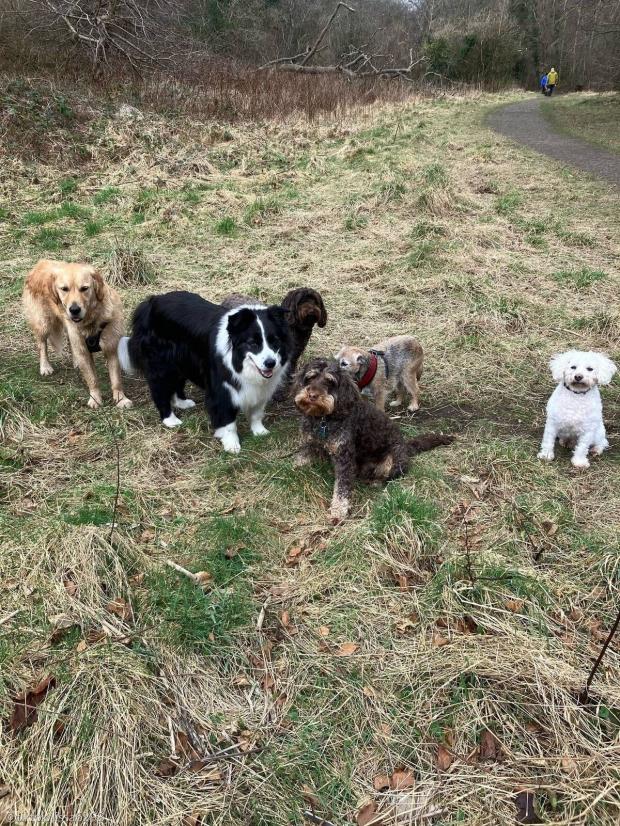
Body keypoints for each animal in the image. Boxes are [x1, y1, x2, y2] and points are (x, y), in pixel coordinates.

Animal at [22, 260, 131, 408]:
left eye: (84, 288)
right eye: (64, 289)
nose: (74, 310)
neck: (92, 320)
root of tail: (41, 263)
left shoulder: (111, 347)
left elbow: (116, 379)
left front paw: (121, 399)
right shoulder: (84, 352)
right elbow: (92, 379)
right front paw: (95, 399)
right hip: (43, 323)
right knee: (42, 345)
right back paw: (45, 366)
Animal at [118, 292, 290, 450]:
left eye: (274, 341)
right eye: (252, 343)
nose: (270, 363)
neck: (238, 361)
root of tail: (151, 302)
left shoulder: (259, 389)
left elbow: (256, 411)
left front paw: (260, 432)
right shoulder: (221, 387)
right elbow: (227, 420)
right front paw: (231, 445)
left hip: (182, 360)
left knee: (177, 382)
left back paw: (182, 403)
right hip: (161, 363)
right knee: (159, 389)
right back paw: (170, 420)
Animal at [294, 356, 452, 520]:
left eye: (330, 382)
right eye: (310, 378)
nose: (312, 395)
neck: (323, 419)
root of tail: (406, 445)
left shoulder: (344, 457)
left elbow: (342, 489)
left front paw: (338, 511)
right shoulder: (309, 443)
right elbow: (302, 458)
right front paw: (294, 469)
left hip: (392, 459)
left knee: (390, 475)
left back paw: (375, 482)